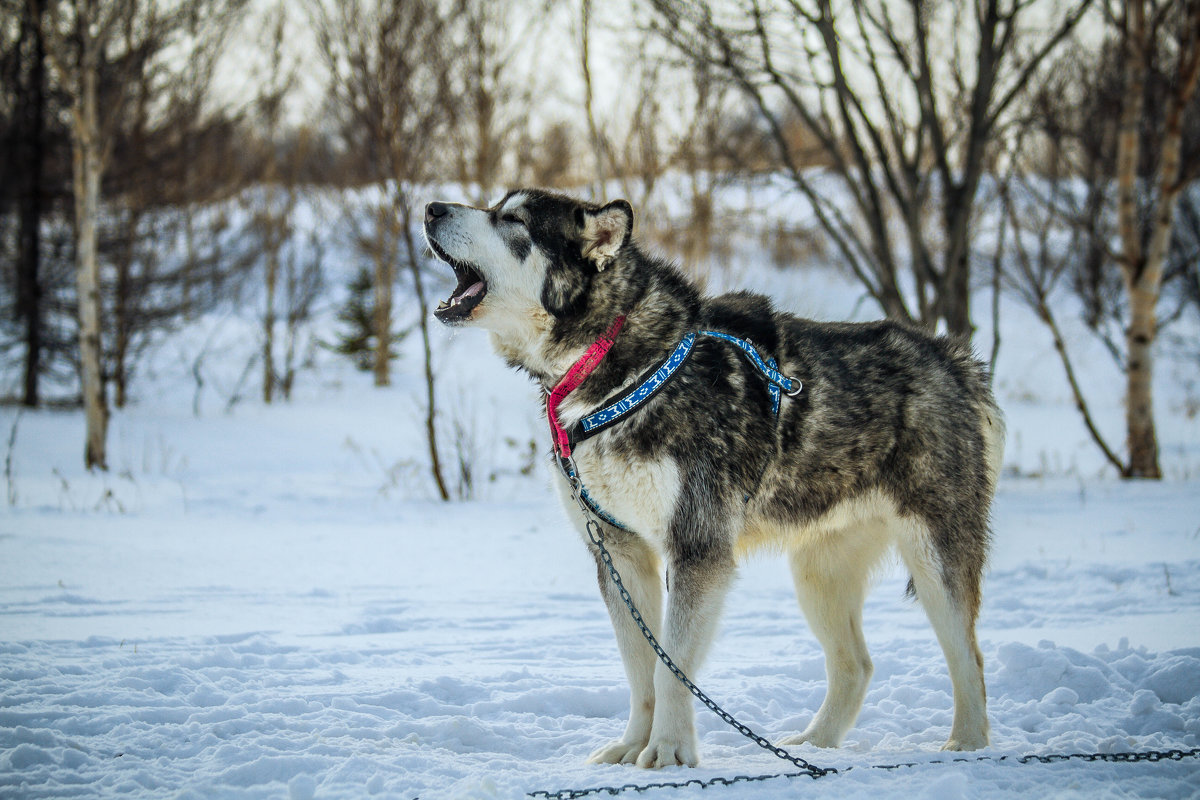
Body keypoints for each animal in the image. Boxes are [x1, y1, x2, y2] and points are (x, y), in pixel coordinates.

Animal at [422, 189, 1003, 767]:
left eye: (513, 219)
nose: (430, 207)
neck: (625, 371)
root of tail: (949, 356)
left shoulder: (696, 549)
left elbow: (671, 666)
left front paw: (668, 751)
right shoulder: (619, 553)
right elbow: (642, 671)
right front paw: (634, 744)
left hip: (934, 557)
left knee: (970, 657)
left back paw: (967, 743)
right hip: (819, 572)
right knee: (856, 665)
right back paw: (816, 743)